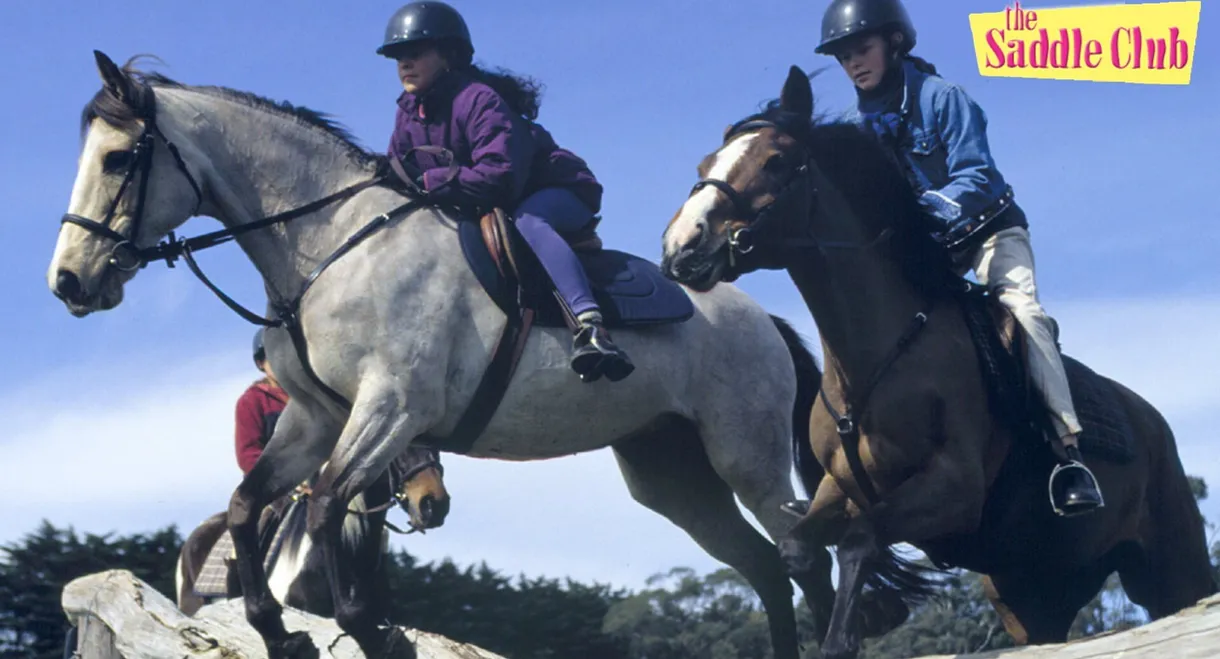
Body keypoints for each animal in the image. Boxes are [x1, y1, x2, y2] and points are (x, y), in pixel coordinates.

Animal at [659, 64, 1218, 659]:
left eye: (776, 160)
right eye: (705, 166)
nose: (681, 247)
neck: (877, 359)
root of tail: (1152, 422)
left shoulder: (953, 488)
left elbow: (860, 540)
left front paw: (846, 635)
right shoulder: (839, 488)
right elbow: (798, 546)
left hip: (1173, 569)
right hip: (1029, 596)